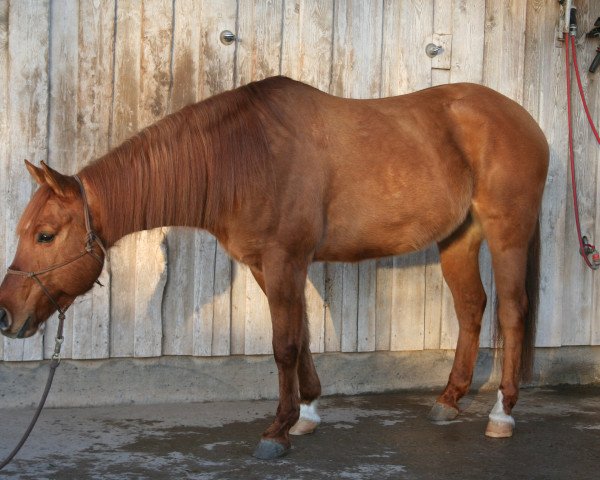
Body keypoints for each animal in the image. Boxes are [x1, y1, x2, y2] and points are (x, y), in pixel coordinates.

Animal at [0, 77, 548, 460]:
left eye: (44, 235)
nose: (6, 316)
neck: (248, 157)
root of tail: (525, 119)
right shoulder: (267, 266)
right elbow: (299, 335)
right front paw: (306, 413)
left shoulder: (287, 259)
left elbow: (283, 344)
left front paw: (277, 431)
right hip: (458, 238)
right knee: (472, 307)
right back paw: (450, 399)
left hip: (506, 233)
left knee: (512, 312)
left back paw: (501, 413)